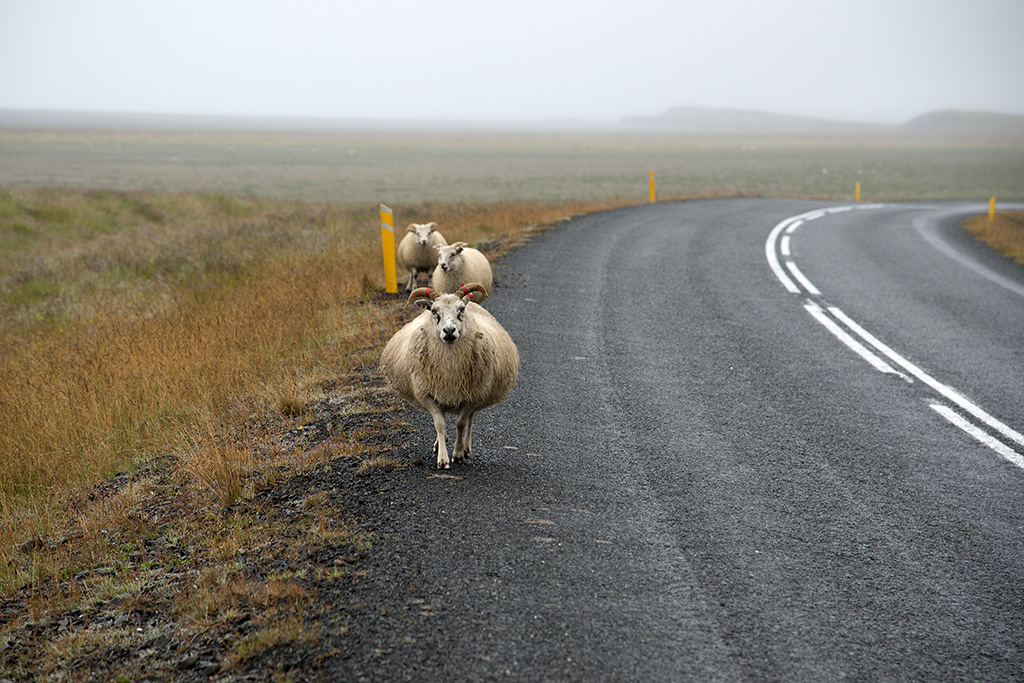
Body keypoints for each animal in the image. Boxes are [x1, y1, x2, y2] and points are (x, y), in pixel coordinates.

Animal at [378, 282, 520, 471]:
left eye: (461, 309)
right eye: (434, 311)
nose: (449, 330)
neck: (450, 365)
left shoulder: (472, 396)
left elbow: (461, 423)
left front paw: (458, 453)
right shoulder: (427, 394)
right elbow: (439, 423)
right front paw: (442, 458)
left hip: (479, 392)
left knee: (471, 419)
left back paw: (466, 448)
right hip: (441, 392)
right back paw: (440, 442)